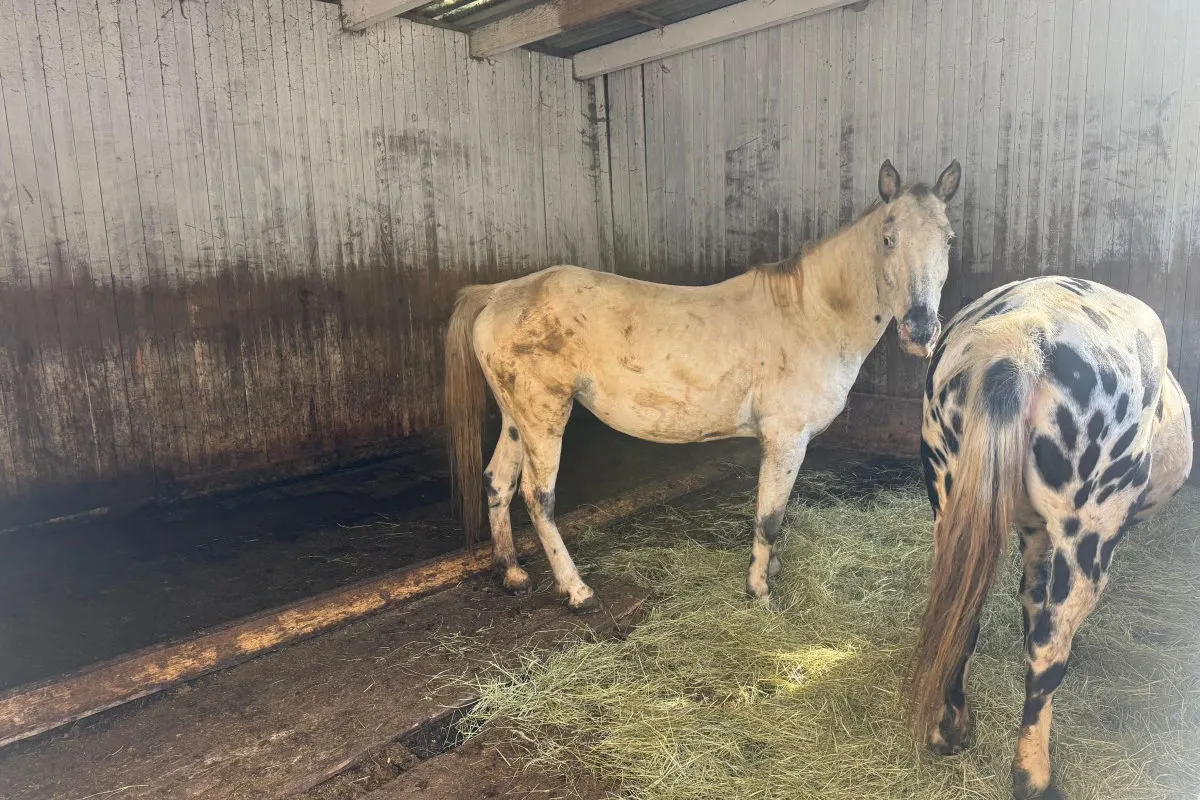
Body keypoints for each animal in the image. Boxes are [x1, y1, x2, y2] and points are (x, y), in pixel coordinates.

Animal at [444, 158, 963, 613]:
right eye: (888, 238)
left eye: (949, 239)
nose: (920, 331)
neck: (809, 316)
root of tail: (499, 293)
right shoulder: (785, 439)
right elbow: (769, 517)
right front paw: (760, 592)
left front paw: (770, 572)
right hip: (545, 415)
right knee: (538, 497)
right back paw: (578, 591)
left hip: (518, 418)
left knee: (498, 480)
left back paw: (513, 574)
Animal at [909, 276, 1194, 799]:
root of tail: (1020, 337)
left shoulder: (1035, 535)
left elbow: (1029, 597)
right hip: (1088, 528)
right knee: (1049, 645)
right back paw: (1034, 779)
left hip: (950, 504)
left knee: (961, 611)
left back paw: (950, 730)